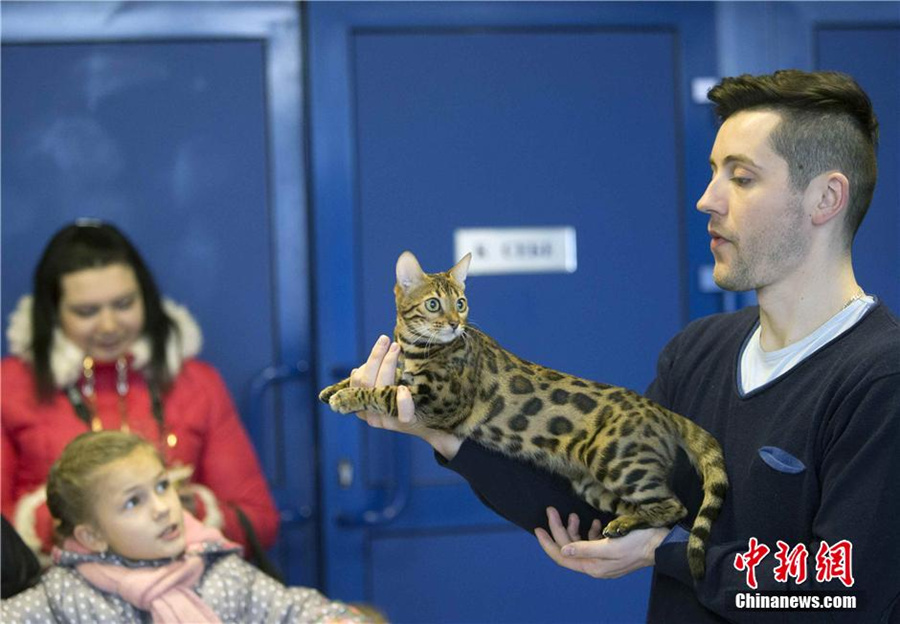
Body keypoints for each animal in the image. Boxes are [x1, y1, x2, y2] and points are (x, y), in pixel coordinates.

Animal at [320, 250, 728, 580]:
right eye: (434, 305)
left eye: (461, 303)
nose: (455, 323)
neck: (417, 348)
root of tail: (661, 411)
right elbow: (374, 376)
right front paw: (334, 386)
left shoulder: (441, 401)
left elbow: (387, 392)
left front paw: (350, 396)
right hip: (593, 484)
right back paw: (623, 522)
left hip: (617, 461)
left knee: (675, 505)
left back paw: (626, 523)